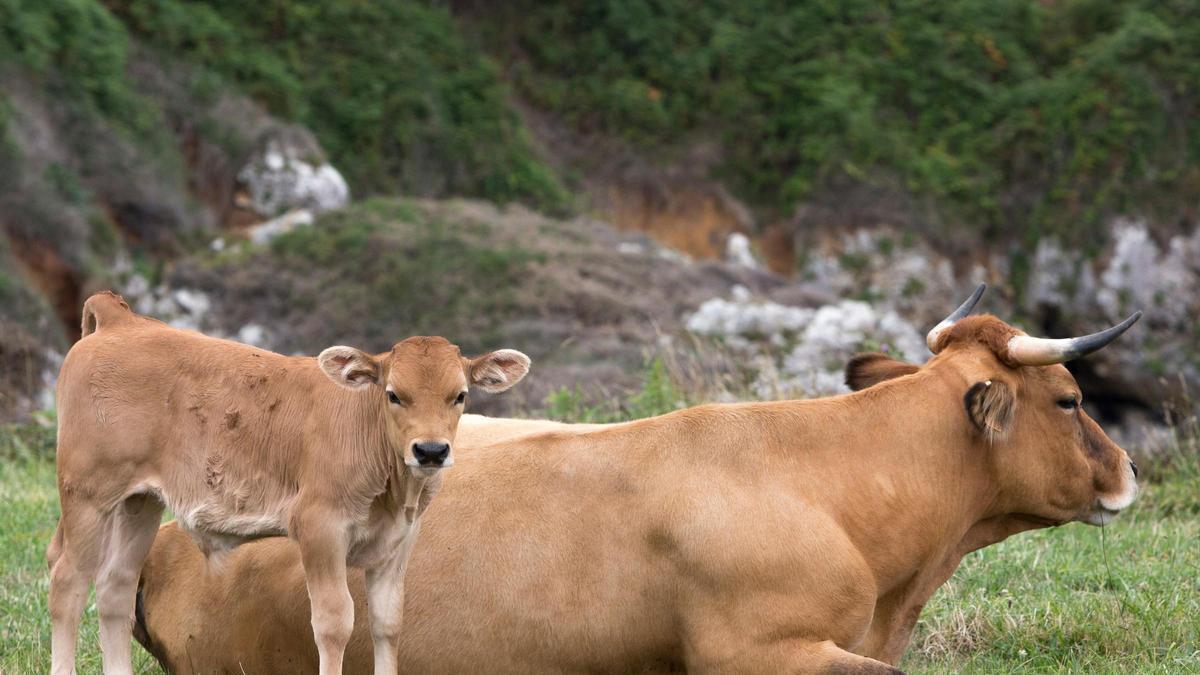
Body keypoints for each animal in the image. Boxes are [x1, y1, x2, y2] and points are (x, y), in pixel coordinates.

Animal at [46, 292, 530, 675]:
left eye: (460, 395)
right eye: (393, 394)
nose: (430, 450)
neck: (394, 492)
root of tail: (122, 320)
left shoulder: (400, 541)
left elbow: (387, 623)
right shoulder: (320, 528)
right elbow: (334, 623)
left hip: (139, 502)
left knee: (115, 587)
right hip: (87, 493)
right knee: (68, 582)